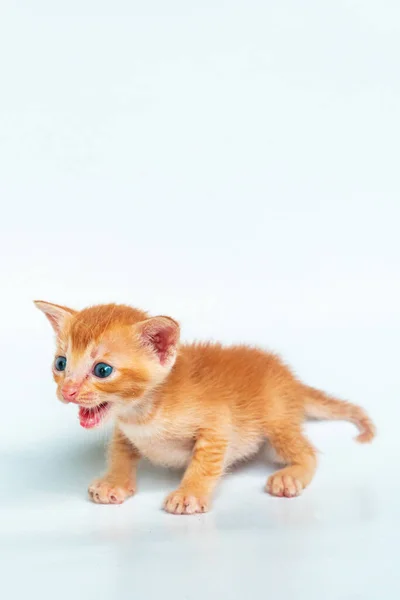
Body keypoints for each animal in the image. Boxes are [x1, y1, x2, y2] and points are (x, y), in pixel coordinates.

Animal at [34, 300, 376, 516]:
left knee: (307, 452)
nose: (67, 390)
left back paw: (291, 474)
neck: (143, 413)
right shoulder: (124, 432)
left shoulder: (217, 424)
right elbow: (119, 454)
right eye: (61, 364)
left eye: (102, 370)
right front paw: (114, 481)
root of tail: (289, 376)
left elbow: (205, 463)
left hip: (276, 419)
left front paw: (190, 493)